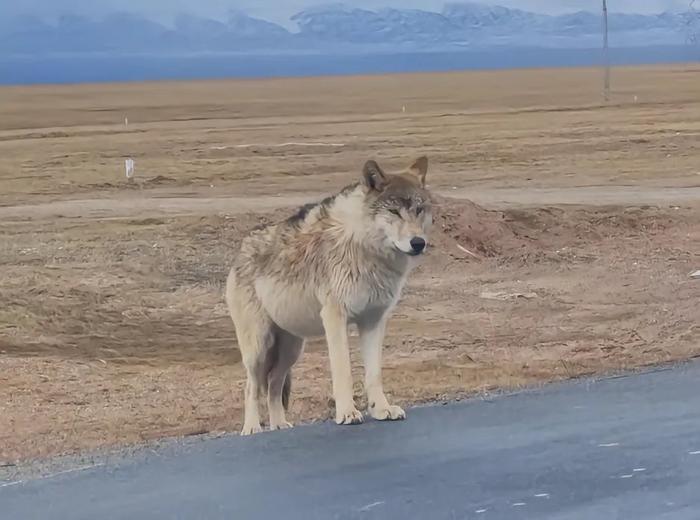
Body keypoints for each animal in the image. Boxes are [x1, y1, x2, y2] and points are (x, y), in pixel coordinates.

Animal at [227, 156, 430, 432]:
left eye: (419, 210)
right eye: (394, 212)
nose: (418, 243)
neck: (365, 248)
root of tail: (241, 249)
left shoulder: (374, 321)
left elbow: (374, 373)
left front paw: (382, 409)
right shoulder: (335, 317)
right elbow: (343, 370)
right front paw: (347, 413)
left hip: (291, 349)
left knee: (273, 384)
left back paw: (280, 425)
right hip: (259, 347)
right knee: (252, 386)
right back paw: (252, 428)